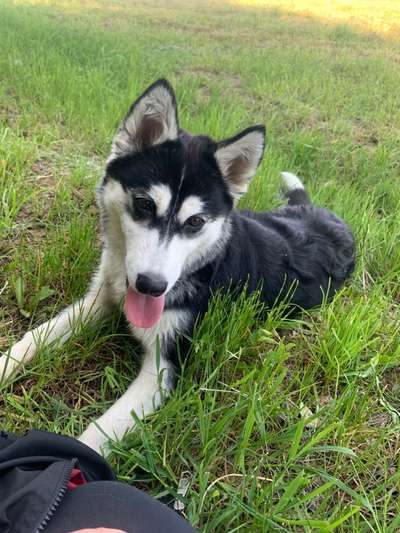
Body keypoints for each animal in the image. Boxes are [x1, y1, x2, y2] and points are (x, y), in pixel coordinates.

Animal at [0, 80, 356, 454]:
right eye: (144, 204)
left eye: (196, 222)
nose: (151, 286)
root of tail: (326, 217)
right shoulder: (98, 299)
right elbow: (34, 338)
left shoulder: (164, 370)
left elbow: (96, 435)